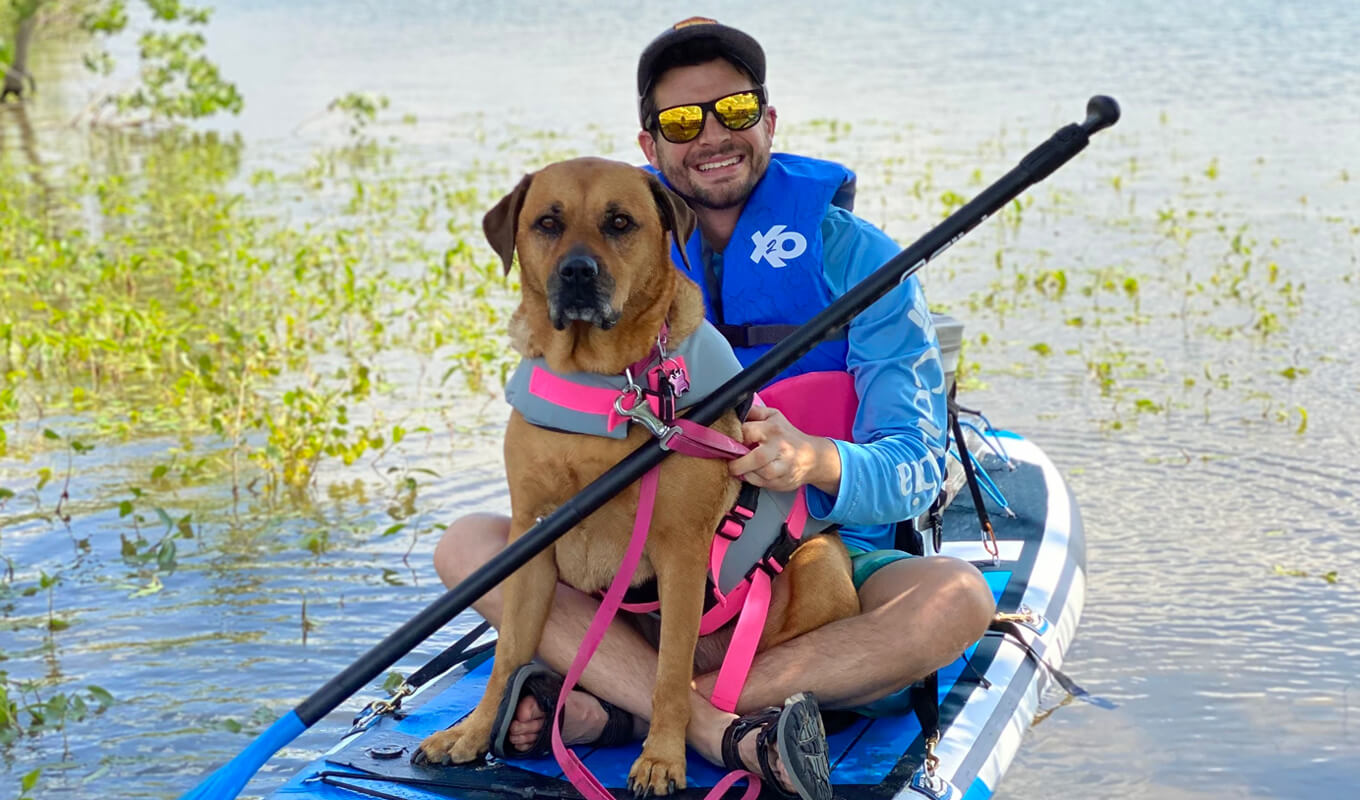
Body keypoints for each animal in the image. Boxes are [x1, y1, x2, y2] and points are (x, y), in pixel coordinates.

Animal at [418, 156, 854, 794]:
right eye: (547, 223)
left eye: (620, 222)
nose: (577, 272)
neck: (605, 381)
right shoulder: (529, 543)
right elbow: (506, 656)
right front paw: (472, 732)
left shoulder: (681, 551)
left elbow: (669, 676)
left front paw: (662, 759)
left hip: (819, 570)